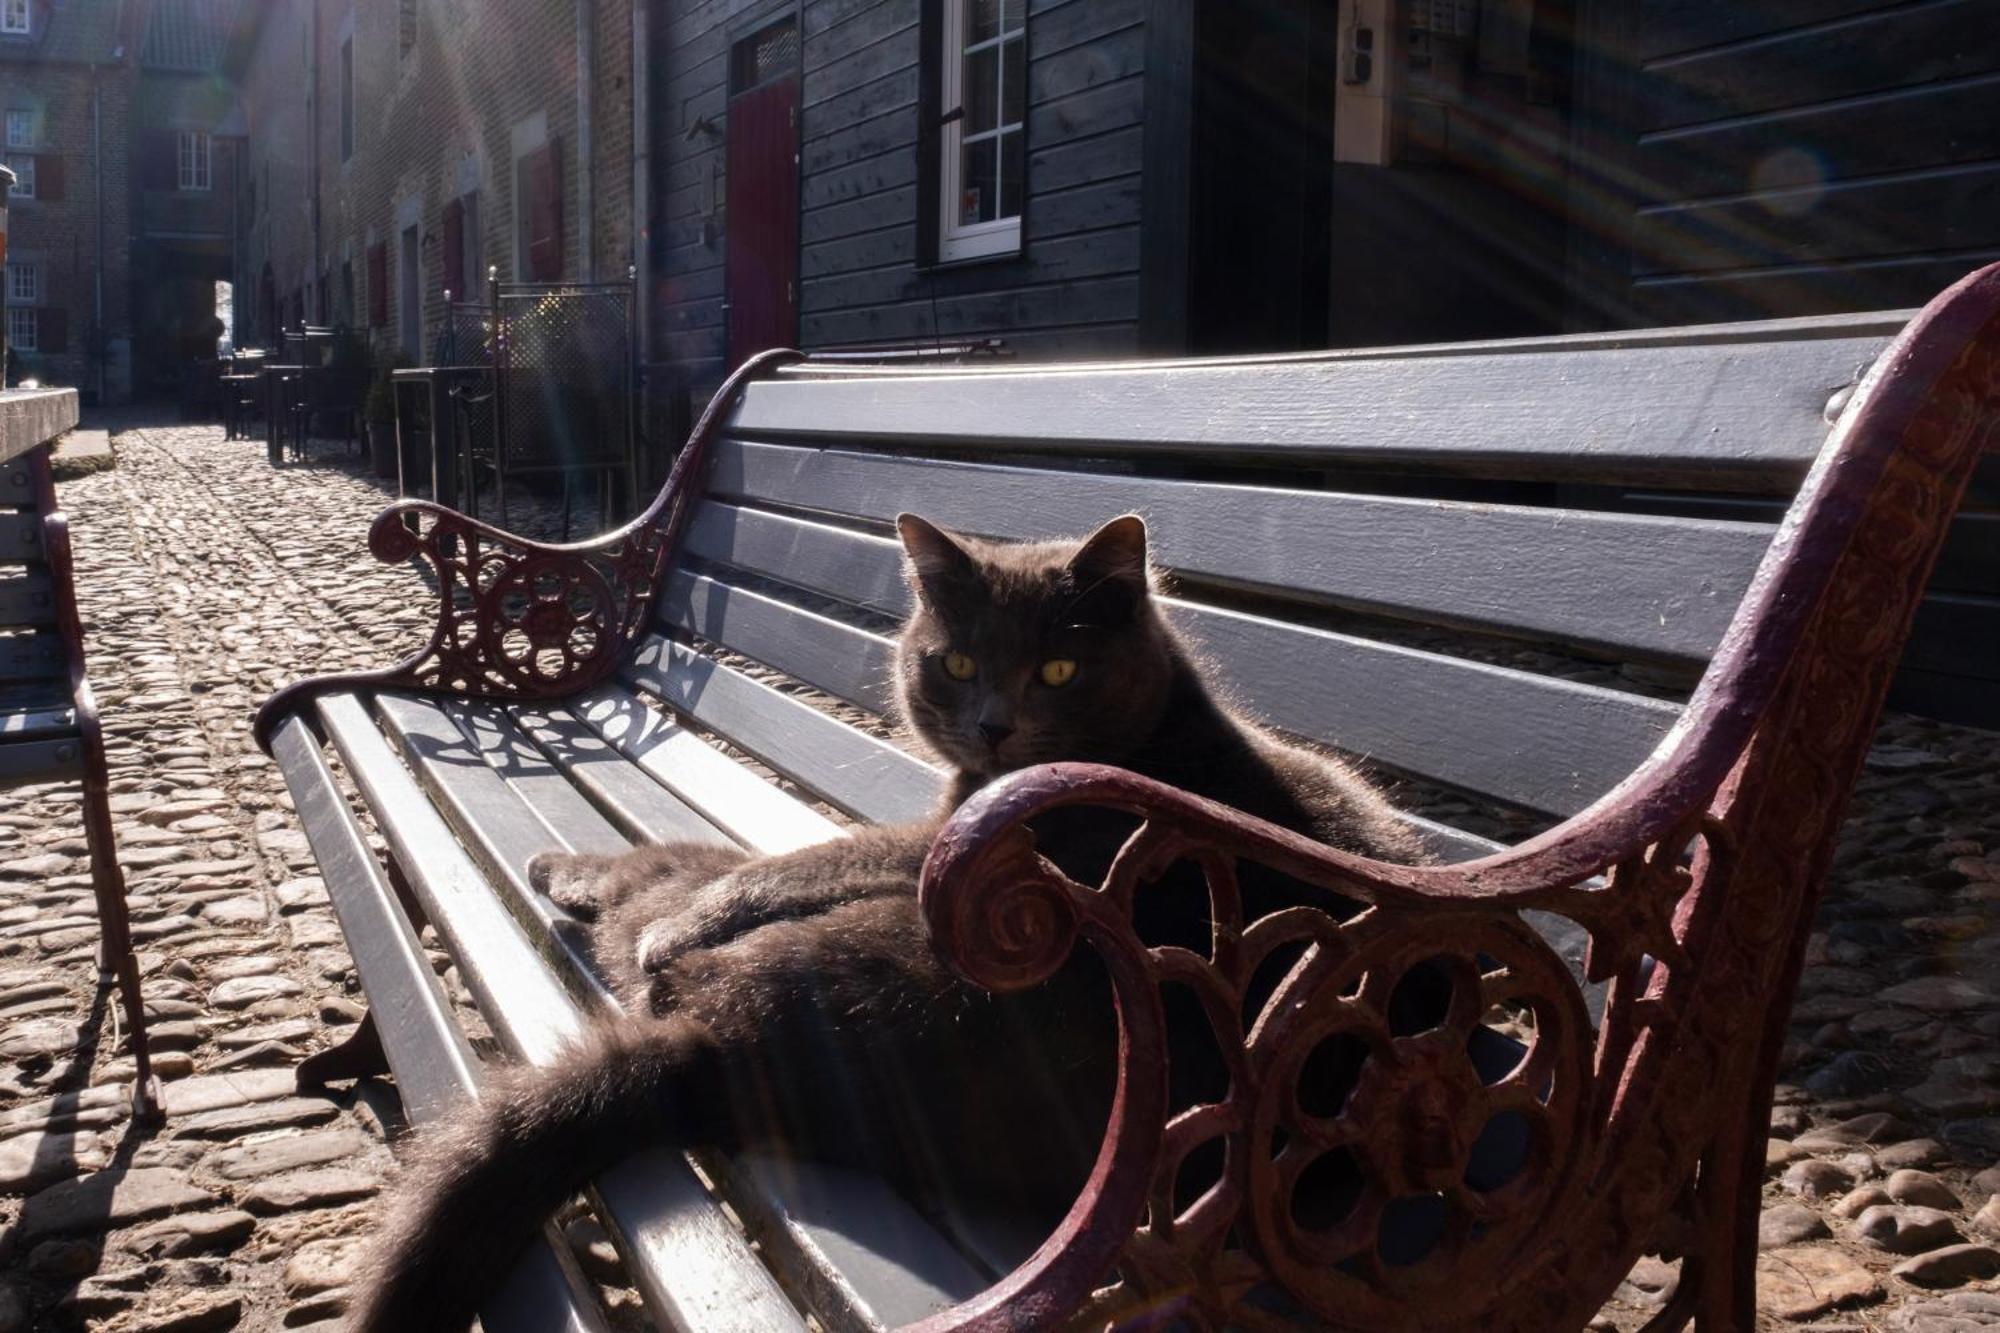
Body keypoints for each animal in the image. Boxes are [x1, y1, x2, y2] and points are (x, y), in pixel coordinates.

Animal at [344, 510, 1416, 1328]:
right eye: (957, 661)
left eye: (1059, 670)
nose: (993, 725)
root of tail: (716, 1055)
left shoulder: (932, 846)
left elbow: (799, 860)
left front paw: (695, 911)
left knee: (661, 892)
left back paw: (581, 880)